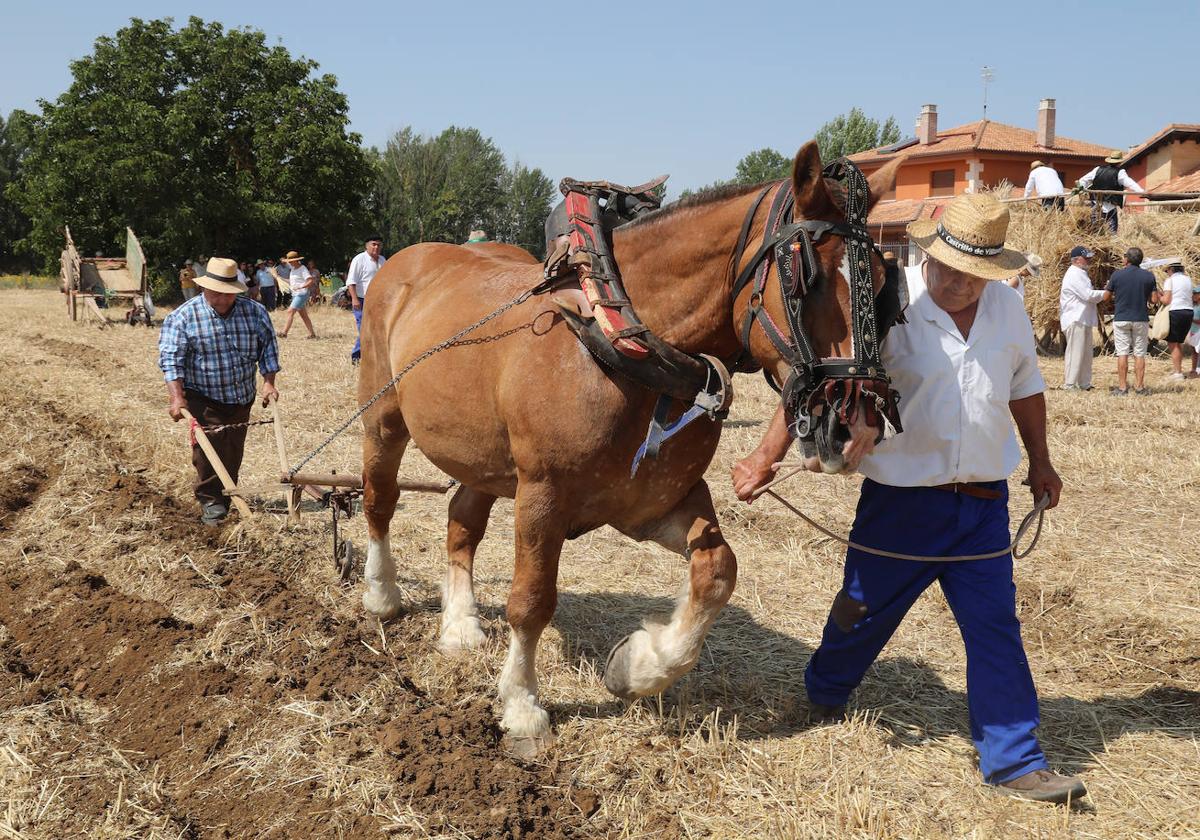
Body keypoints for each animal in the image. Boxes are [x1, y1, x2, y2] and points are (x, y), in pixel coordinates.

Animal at [355, 141, 902, 753]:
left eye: (884, 283)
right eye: (808, 277)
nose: (856, 427)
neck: (617, 344)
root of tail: (408, 262)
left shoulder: (654, 502)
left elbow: (718, 571)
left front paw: (638, 666)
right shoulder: (542, 496)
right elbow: (531, 599)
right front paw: (522, 705)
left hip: (484, 458)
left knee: (461, 521)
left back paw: (460, 624)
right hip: (383, 418)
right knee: (379, 499)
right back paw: (382, 595)